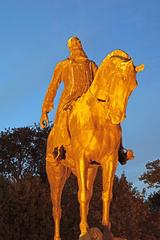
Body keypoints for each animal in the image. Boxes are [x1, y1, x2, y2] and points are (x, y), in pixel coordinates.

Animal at [46, 49, 144, 239]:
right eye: (120, 79)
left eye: (134, 85)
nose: (117, 115)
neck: (98, 115)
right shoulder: (81, 159)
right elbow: (82, 195)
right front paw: (84, 231)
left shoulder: (109, 161)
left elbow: (106, 194)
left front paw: (106, 229)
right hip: (56, 173)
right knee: (56, 206)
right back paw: (58, 236)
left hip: (91, 170)